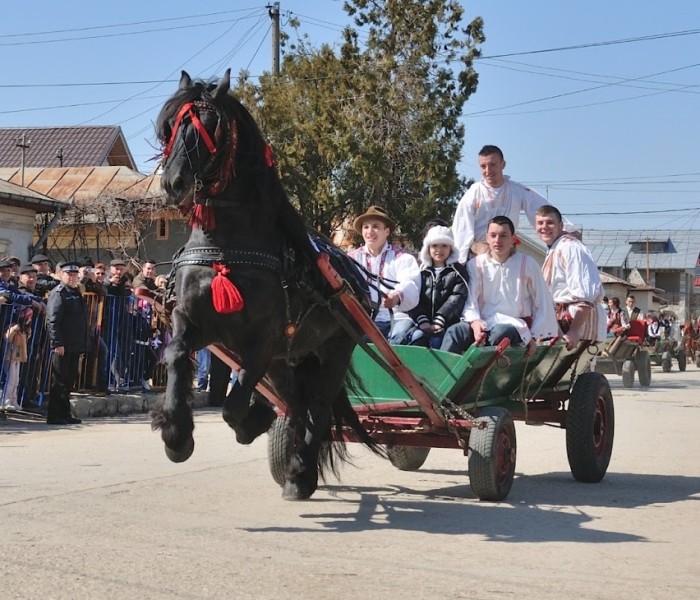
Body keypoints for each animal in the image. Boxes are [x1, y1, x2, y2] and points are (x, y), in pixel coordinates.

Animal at [154, 70, 382, 500]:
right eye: (171, 126)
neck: (225, 246)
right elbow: (176, 355)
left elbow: (234, 401)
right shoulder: (193, 320)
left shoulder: (264, 338)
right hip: (285, 360)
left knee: (318, 406)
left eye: (210, 124)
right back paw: (291, 463)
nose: (174, 183)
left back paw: (300, 473)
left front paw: (252, 421)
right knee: (295, 402)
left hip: (333, 351)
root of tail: (355, 280)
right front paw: (176, 434)